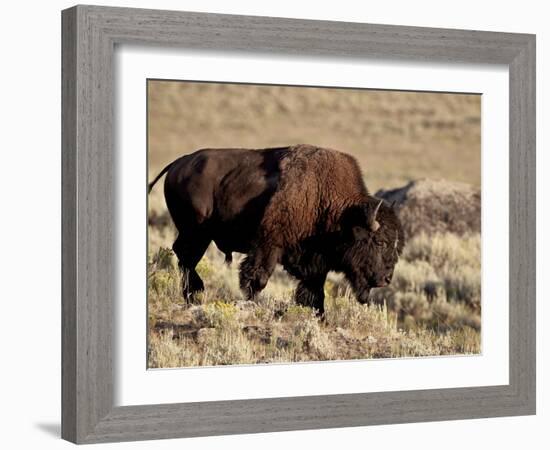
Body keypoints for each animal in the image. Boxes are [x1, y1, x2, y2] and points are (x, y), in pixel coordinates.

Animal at [148, 146, 406, 314]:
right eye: (380, 242)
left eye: (397, 246)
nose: (386, 278)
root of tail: (179, 163)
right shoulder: (268, 246)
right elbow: (257, 278)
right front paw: (252, 303)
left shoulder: (316, 261)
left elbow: (314, 292)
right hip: (197, 232)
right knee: (186, 258)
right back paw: (195, 294)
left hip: (197, 234)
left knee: (183, 257)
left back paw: (193, 295)